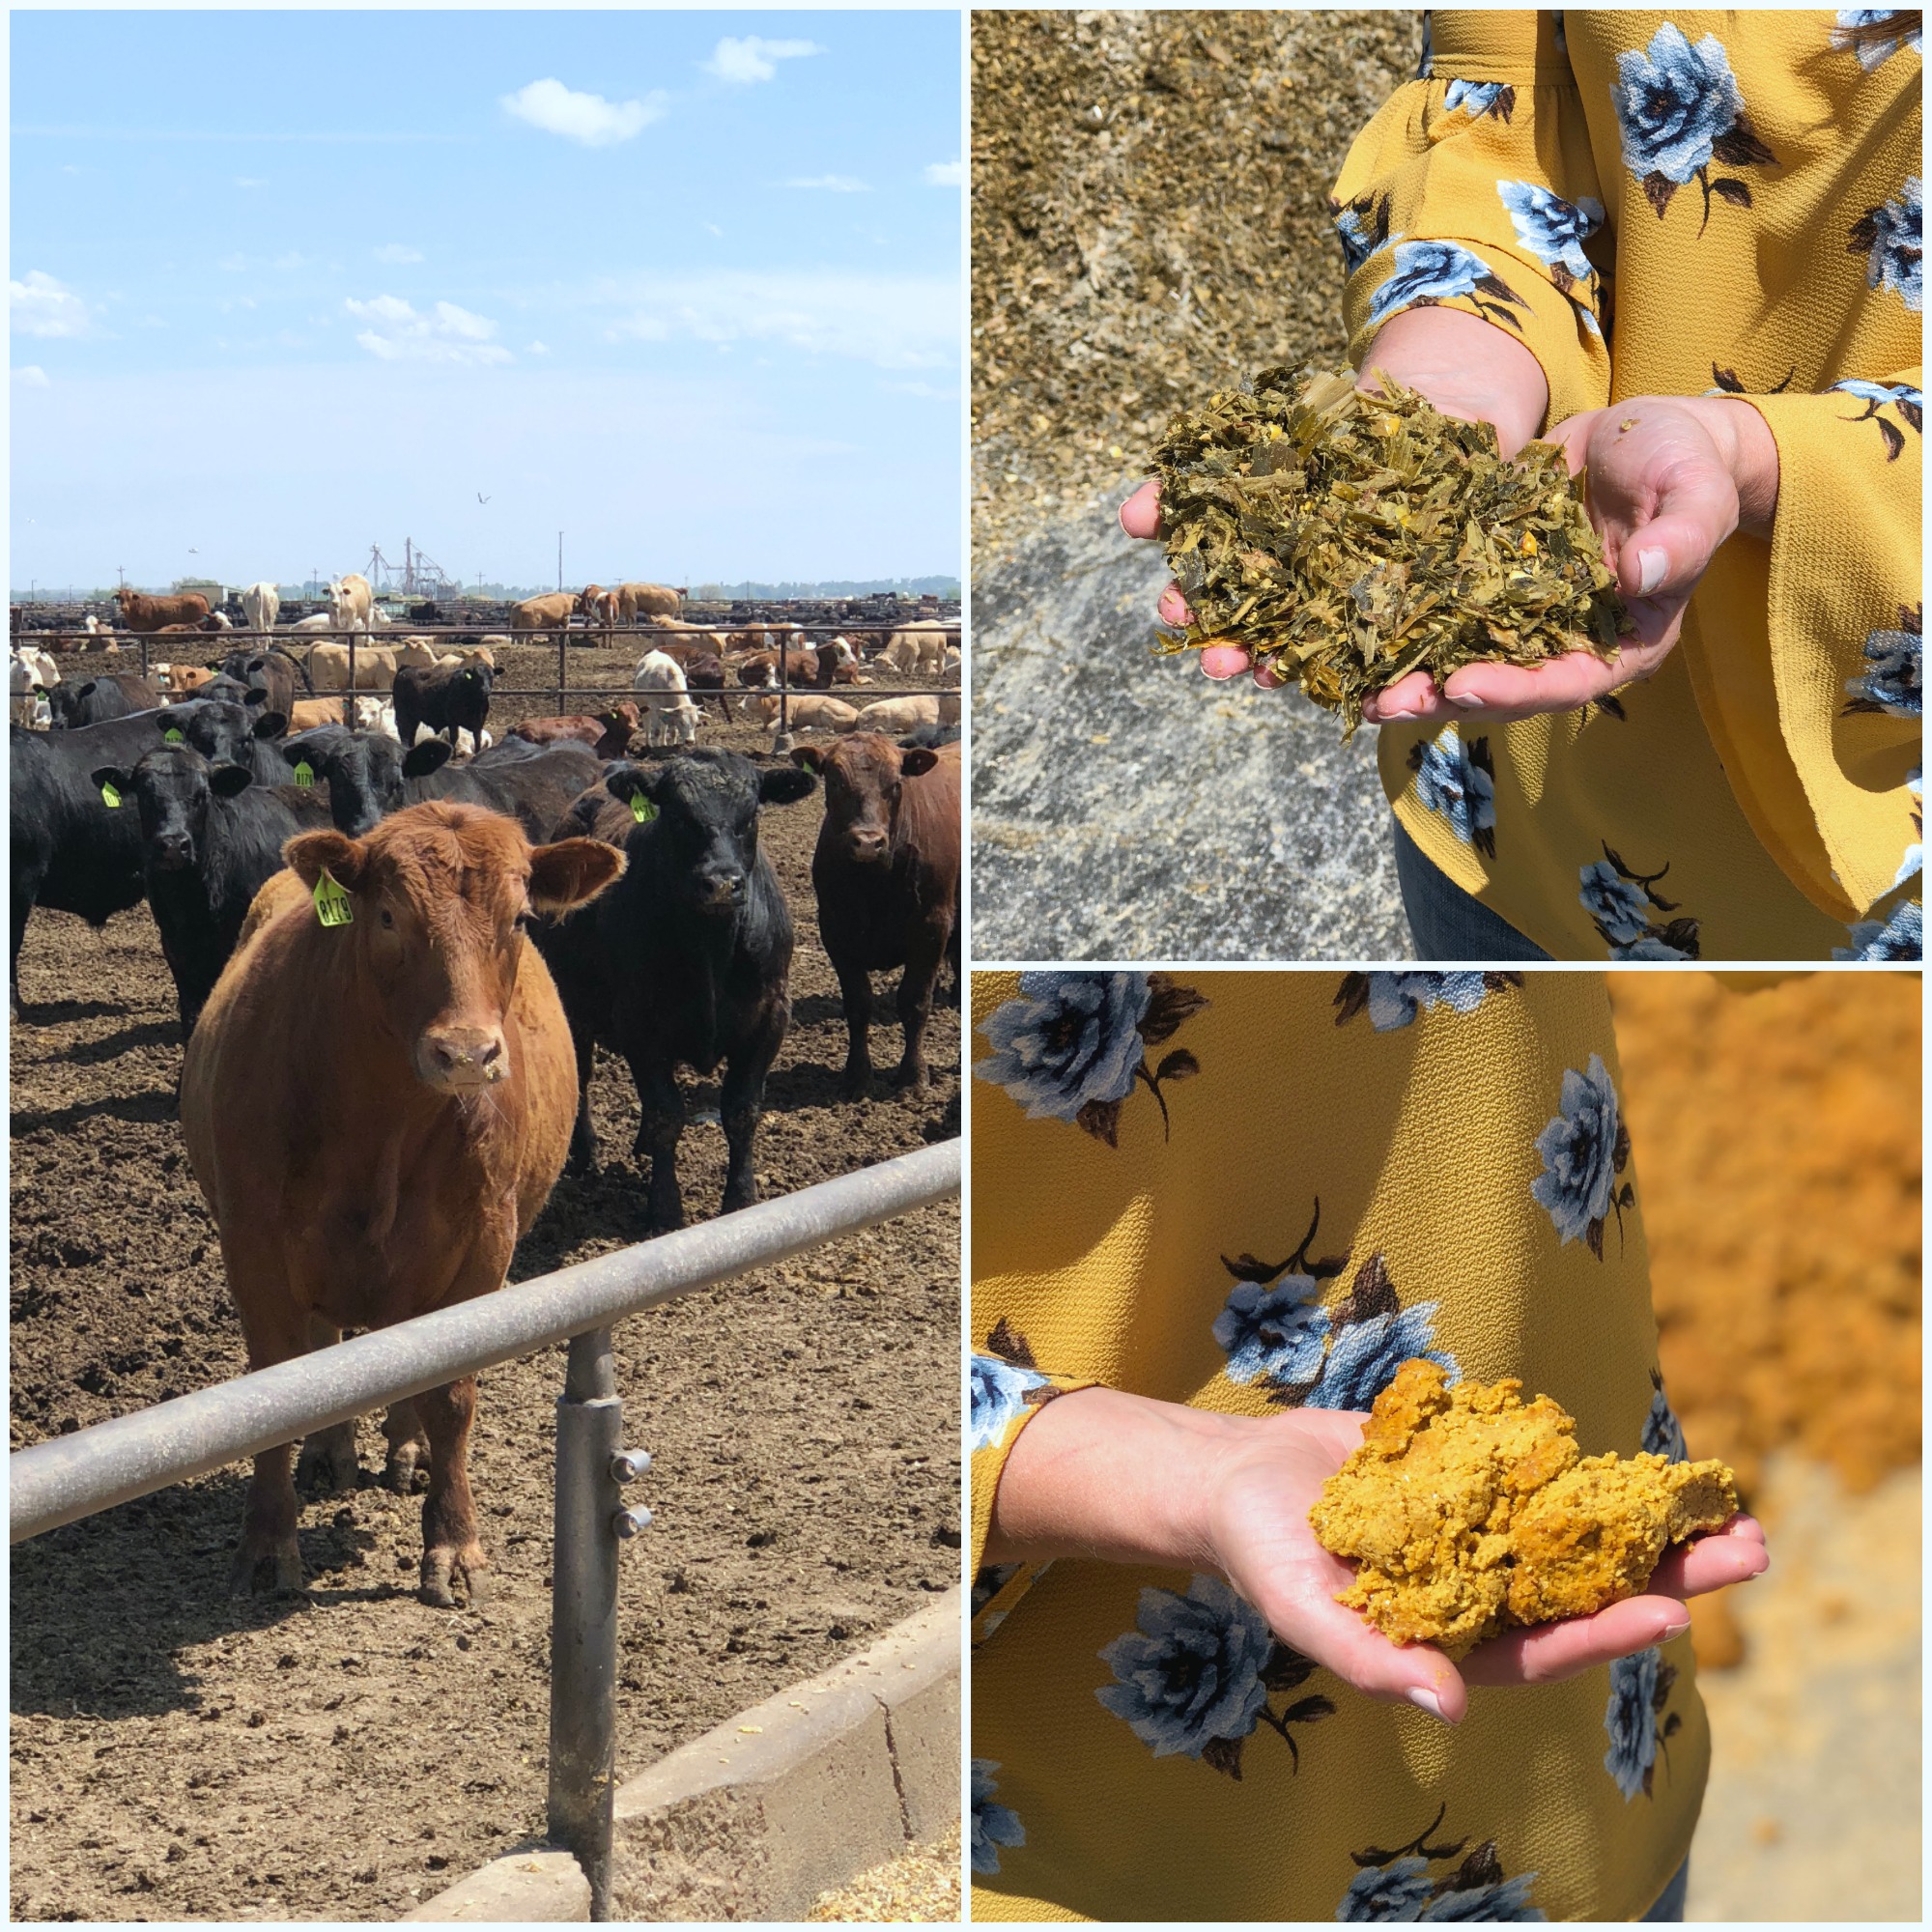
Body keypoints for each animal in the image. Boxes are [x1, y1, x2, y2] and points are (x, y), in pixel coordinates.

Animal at [180, 800, 618, 1600]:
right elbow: (277, 1388)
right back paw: (331, 1452)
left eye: (519, 918)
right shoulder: (253, 1246)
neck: (381, 1129)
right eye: (386, 916)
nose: (468, 1053)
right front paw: (266, 1543)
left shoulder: (484, 1247)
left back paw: (406, 1451)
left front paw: (454, 1543)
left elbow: (449, 1393)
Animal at [533, 746, 819, 1229]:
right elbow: (667, 1114)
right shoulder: (639, 1023)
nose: (721, 882)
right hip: (574, 1006)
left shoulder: (771, 1017)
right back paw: (585, 1153)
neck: (712, 950)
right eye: (678, 816)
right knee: (584, 1079)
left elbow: (742, 1111)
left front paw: (741, 1198)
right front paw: (665, 1207)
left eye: (751, 815)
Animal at [788, 730, 962, 1097]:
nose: (868, 841)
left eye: (896, 783)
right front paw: (857, 1077)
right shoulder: (835, 931)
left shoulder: (932, 927)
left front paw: (913, 1076)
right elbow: (857, 1004)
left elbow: (914, 1001)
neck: (874, 882)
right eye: (835, 781)